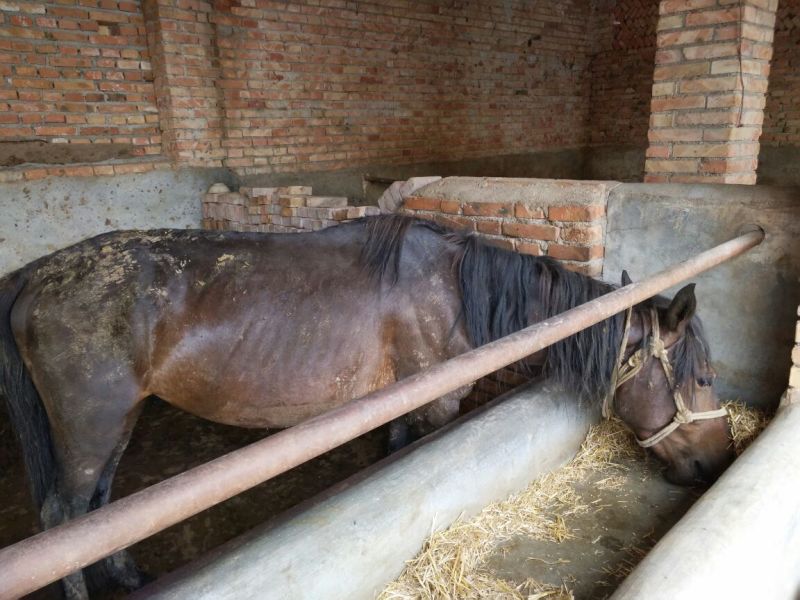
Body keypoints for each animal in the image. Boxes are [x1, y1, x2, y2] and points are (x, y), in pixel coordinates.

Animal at [0, 215, 733, 599]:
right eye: (702, 376)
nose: (716, 461)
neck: (453, 288)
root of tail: (35, 277)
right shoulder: (437, 402)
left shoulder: (398, 401)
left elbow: (393, 455)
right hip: (90, 425)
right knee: (64, 518)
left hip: (115, 423)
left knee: (99, 511)